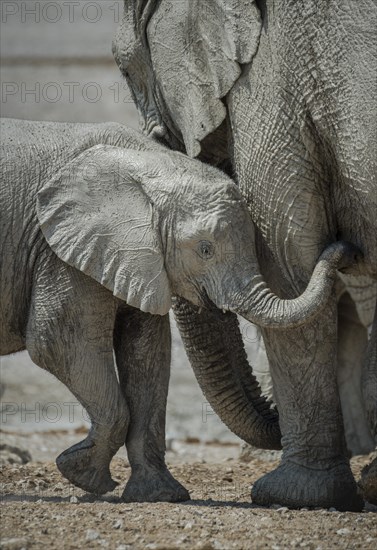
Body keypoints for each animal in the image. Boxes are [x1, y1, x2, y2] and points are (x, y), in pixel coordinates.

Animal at [0, 117, 358, 504]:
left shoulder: (131, 256)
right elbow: (57, 343)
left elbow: (148, 353)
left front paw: (158, 495)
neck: (151, 162)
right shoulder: (58, 249)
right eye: (204, 249)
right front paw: (83, 476)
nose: (348, 248)